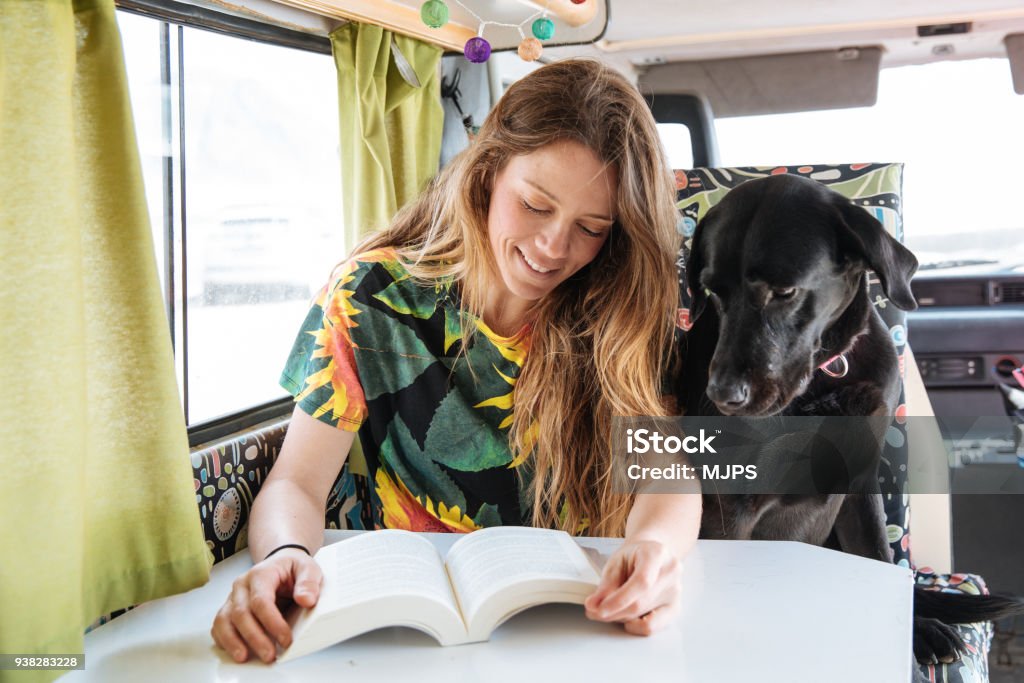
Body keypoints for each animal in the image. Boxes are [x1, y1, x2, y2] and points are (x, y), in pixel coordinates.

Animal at [679, 174, 1024, 663]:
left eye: (784, 291)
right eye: (713, 291)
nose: (723, 396)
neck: (827, 374)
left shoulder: (859, 481)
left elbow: (879, 555)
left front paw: (916, 629)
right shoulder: (730, 507)